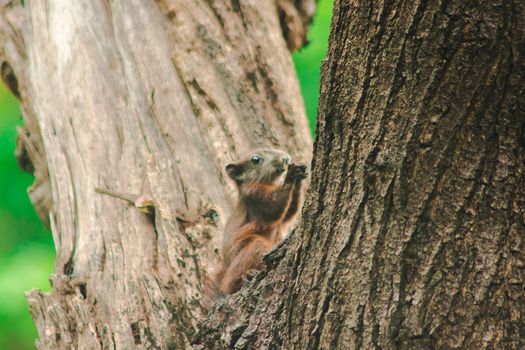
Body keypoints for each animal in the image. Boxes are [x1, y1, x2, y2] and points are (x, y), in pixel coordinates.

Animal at [211, 148, 304, 296]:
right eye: (255, 160)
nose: (285, 158)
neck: (268, 184)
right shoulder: (255, 198)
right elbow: (274, 207)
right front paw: (290, 175)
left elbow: (290, 213)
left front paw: (299, 173)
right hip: (254, 248)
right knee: (231, 284)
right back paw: (247, 275)